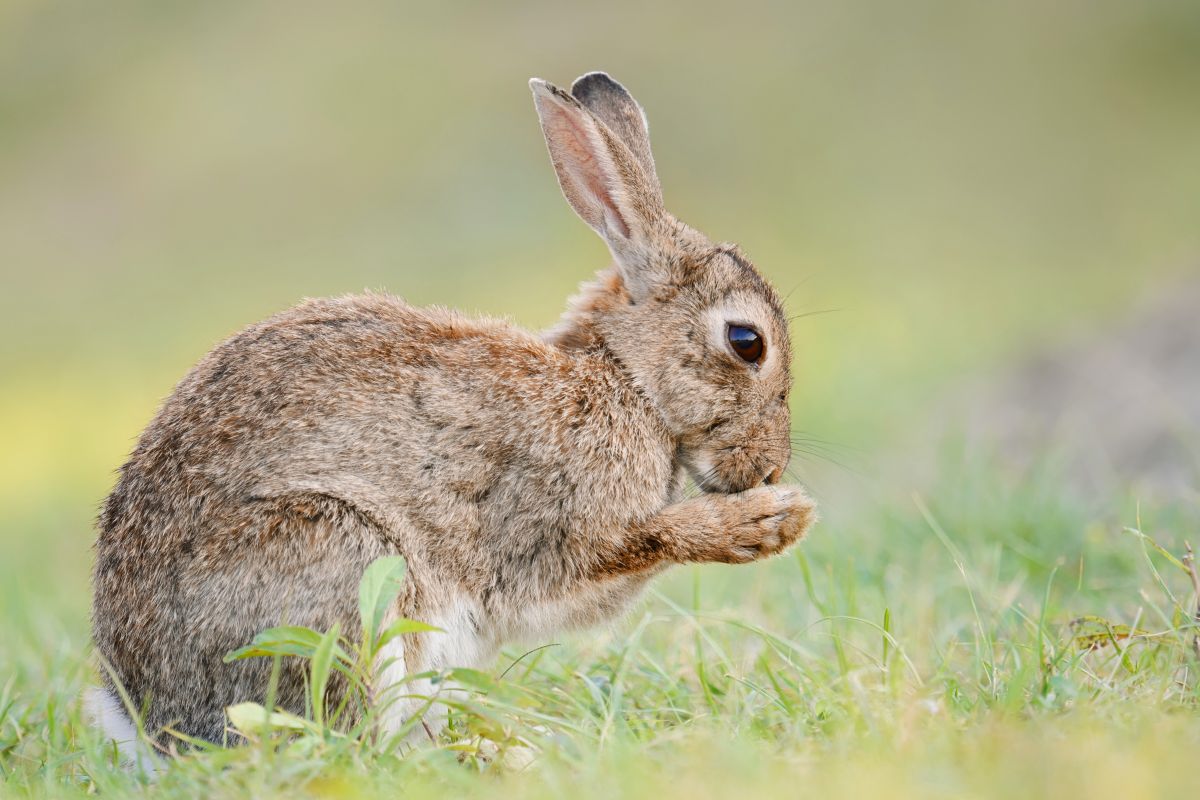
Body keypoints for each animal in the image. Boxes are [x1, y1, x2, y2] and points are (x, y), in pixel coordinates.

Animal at [91, 71, 816, 753]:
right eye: (747, 342)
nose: (771, 469)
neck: (625, 378)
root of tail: (148, 716)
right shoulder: (552, 530)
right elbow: (635, 543)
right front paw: (767, 521)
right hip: (340, 559)